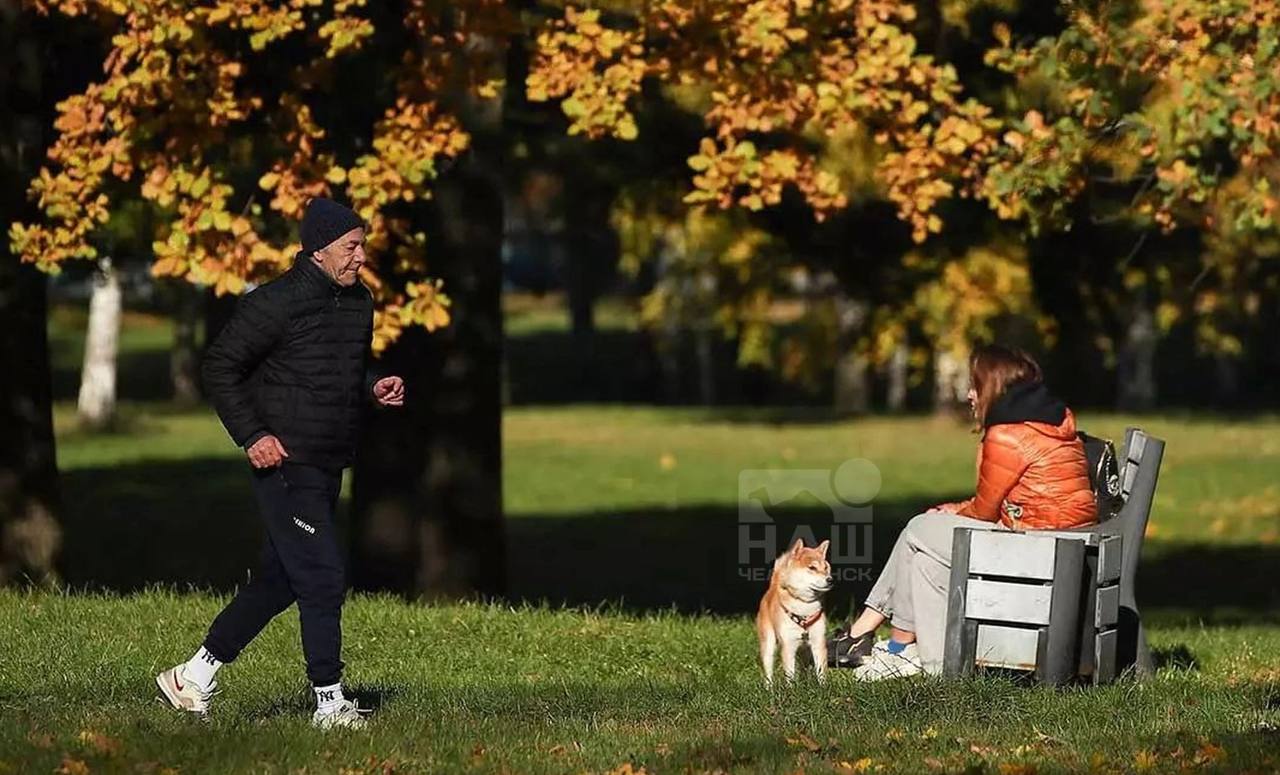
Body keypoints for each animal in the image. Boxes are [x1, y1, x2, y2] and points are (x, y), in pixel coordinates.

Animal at [752, 538, 834, 681]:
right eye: (812, 568)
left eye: (826, 568)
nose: (830, 580)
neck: (804, 607)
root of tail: (771, 589)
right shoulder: (788, 645)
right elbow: (790, 675)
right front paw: (792, 687)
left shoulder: (818, 642)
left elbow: (821, 673)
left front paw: (824, 686)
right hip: (768, 644)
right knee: (768, 673)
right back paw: (770, 686)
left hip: (805, 651)